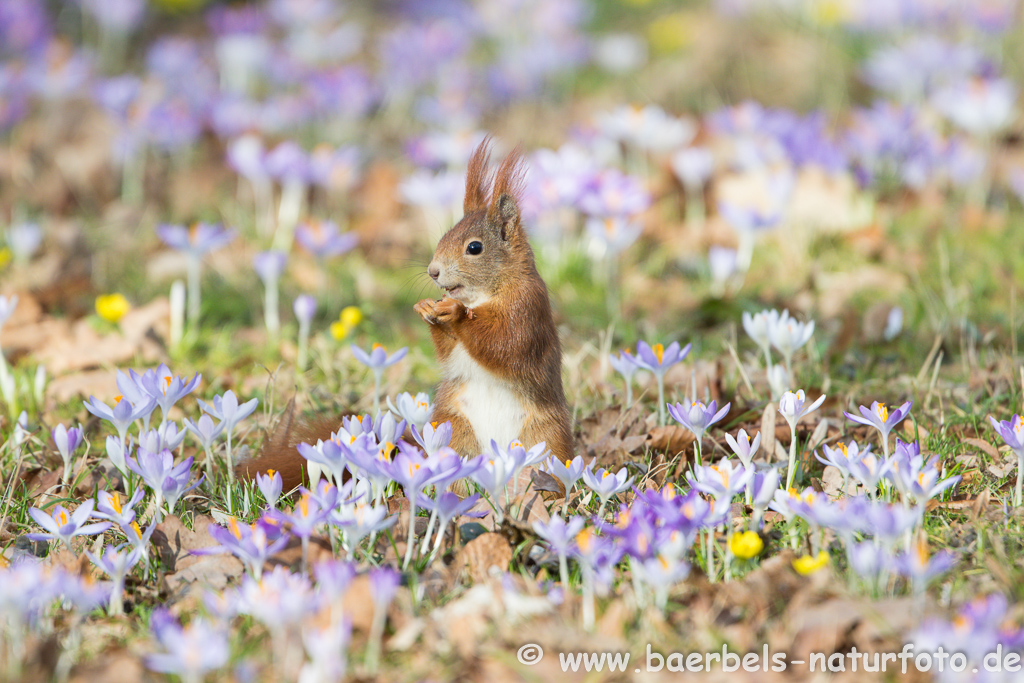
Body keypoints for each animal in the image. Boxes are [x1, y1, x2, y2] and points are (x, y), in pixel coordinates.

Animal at [240, 140, 577, 491]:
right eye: (443, 238)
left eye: (474, 248)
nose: (433, 271)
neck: (484, 295)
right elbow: (451, 349)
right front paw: (428, 309)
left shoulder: (527, 307)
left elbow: (507, 344)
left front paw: (456, 314)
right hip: (455, 433)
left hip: (546, 440)